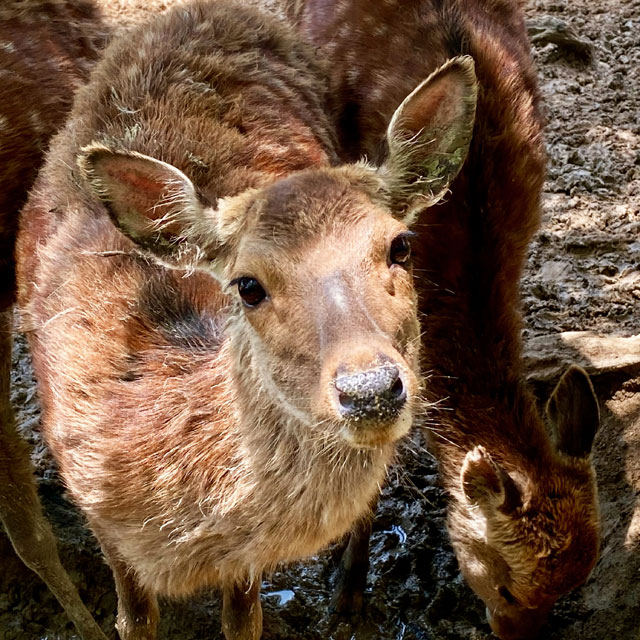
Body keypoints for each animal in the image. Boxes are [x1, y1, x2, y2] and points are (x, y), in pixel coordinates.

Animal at [12, 2, 478, 636]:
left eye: (399, 247)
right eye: (247, 285)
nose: (370, 389)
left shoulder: (245, 563)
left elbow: (244, 622)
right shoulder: (96, 512)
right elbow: (132, 621)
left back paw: (349, 595)